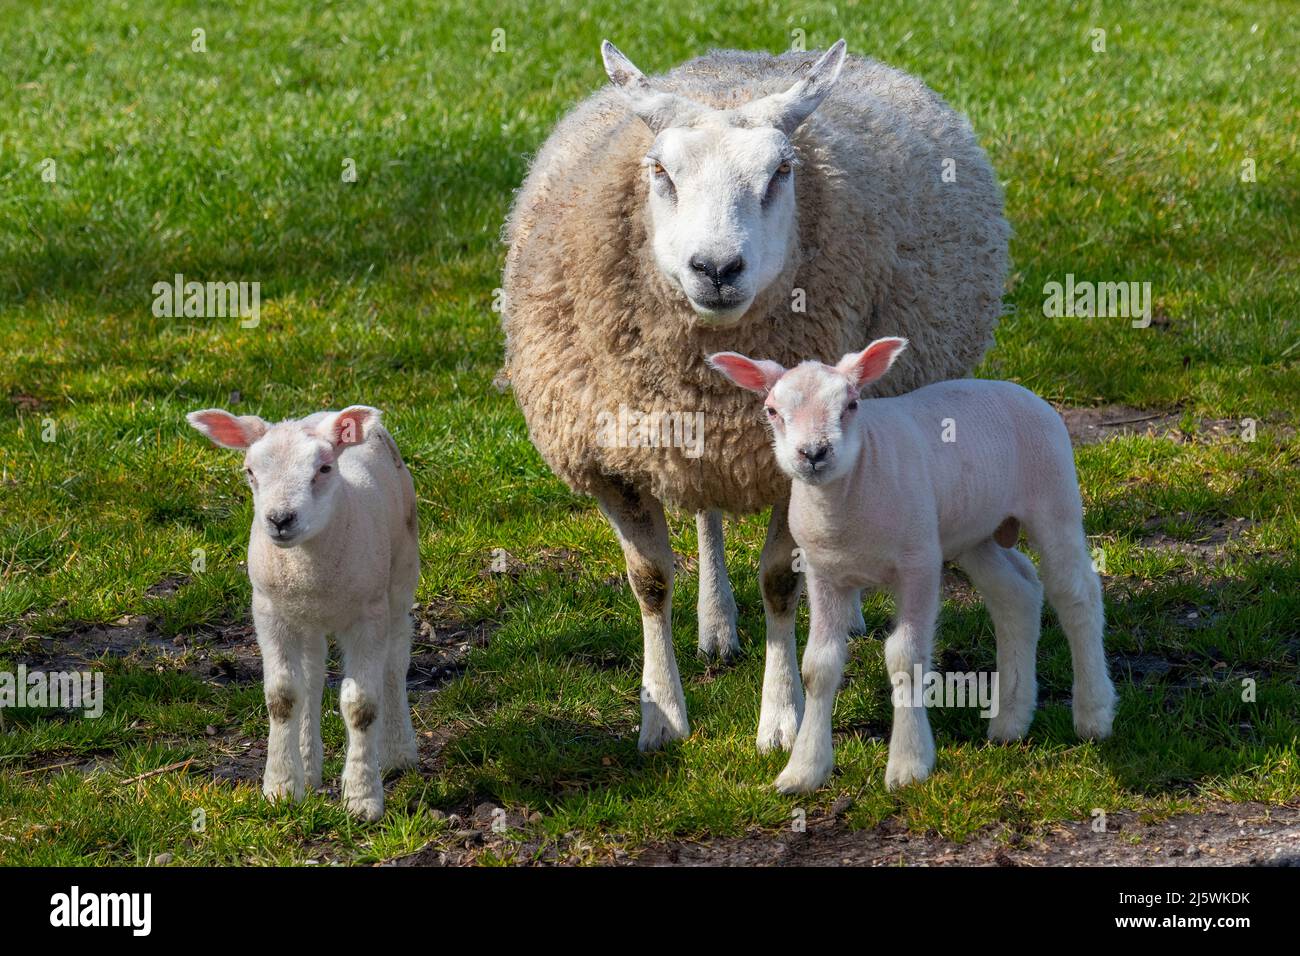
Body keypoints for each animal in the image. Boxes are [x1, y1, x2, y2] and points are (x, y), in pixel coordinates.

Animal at [187, 405, 420, 820]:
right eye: (250, 471)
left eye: (324, 468)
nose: (280, 519)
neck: (307, 565)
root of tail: (324, 412)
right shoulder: (269, 612)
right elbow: (282, 697)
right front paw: (281, 787)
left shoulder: (368, 615)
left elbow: (361, 705)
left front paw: (362, 798)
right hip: (306, 618)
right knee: (311, 677)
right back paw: (310, 767)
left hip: (401, 571)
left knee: (396, 658)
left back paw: (399, 751)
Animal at [501, 38, 1009, 752]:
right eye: (660, 172)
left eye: (782, 172)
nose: (716, 268)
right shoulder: (613, 460)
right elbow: (649, 581)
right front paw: (662, 716)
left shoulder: (793, 464)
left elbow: (779, 582)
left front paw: (782, 717)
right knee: (706, 516)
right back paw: (716, 625)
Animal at [708, 338, 1117, 792]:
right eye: (772, 411)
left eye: (851, 405)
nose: (813, 454)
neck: (848, 499)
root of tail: (1017, 388)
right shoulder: (824, 574)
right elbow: (819, 665)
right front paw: (804, 770)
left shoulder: (919, 565)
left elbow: (906, 659)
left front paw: (908, 765)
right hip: (973, 530)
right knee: (1017, 594)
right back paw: (1010, 721)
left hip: (1053, 497)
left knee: (1076, 593)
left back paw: (1094, 713)